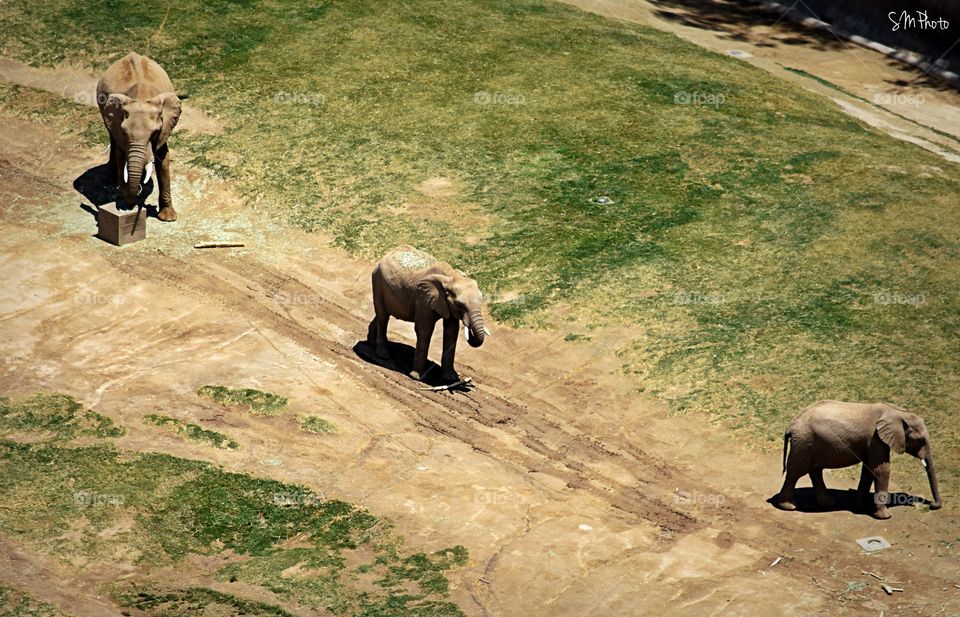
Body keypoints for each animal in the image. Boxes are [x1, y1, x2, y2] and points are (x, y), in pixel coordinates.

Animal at [96, 52, 182, 221]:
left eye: (154, 133)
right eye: (124, 132)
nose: (133, 202)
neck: (142, 98)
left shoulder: (164, 127)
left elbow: (163, 159)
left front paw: (168, 218)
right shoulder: (118, 125)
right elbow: (121, 154)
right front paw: (123, 201)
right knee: (112, 137)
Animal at [369, 245, 489, 382]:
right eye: (460, 305)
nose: (470, 329)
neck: (452, 276)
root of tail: (386, 255)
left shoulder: (446, 304)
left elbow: (451, 332)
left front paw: (451, 379)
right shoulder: (423, 298)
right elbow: (424, 329)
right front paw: (417, 377)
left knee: (381, 314)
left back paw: (372, 343)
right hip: (377, 281)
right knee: (383, 316)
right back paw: (383, 355)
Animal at [775, 400, 942, 519]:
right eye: (920, 440)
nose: (933, 505)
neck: (897, 412)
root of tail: (790, 425)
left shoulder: (872, 442)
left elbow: (869, 469)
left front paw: (860, 506)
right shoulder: (876, 439)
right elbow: (881, 470)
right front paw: (885, 517)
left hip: (811, 443)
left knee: (815, 470)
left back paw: (828, 502)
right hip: (804, 442)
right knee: (796, 471)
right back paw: (789, 507)